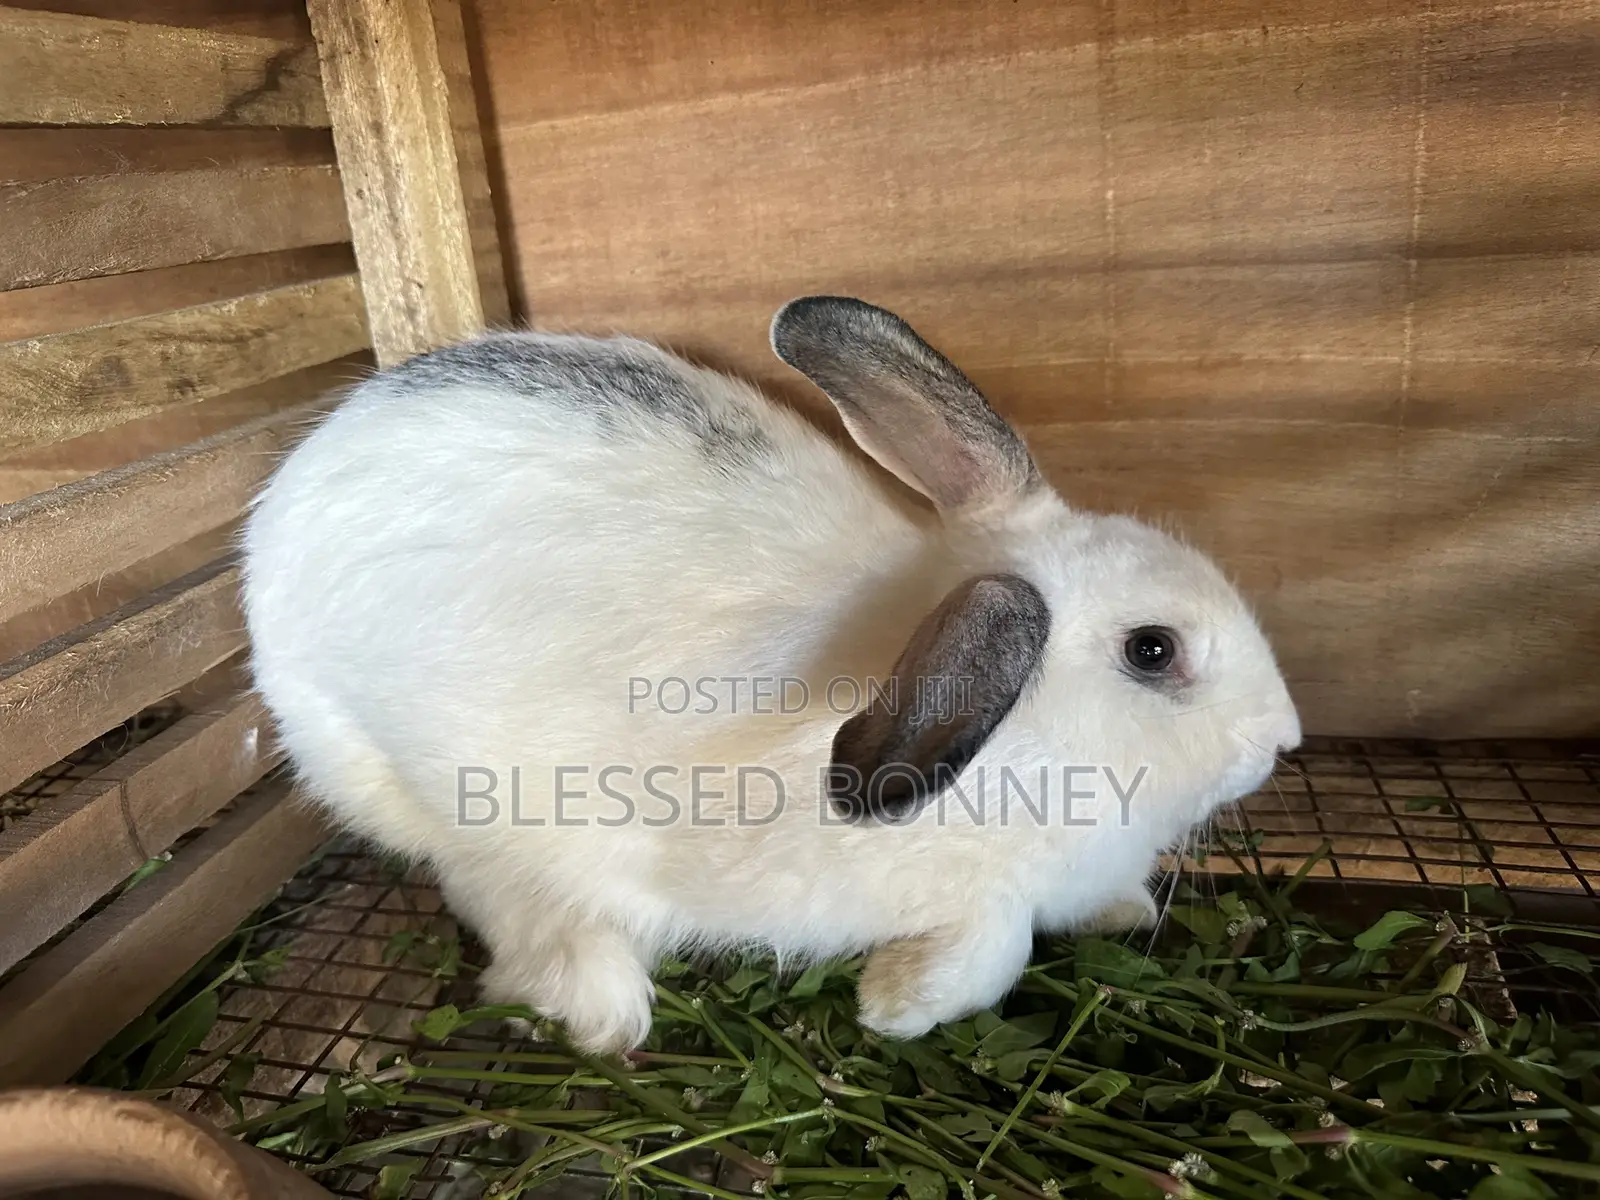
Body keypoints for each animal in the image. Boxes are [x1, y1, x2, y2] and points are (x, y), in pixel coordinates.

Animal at [240, 296, 1301, 1055]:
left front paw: (1125, 911)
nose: (1284, 740)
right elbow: (994, 950)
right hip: (466, 809)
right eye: (1153, 650)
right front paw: (897, 1006)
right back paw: (605, 1010)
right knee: (505, 906)